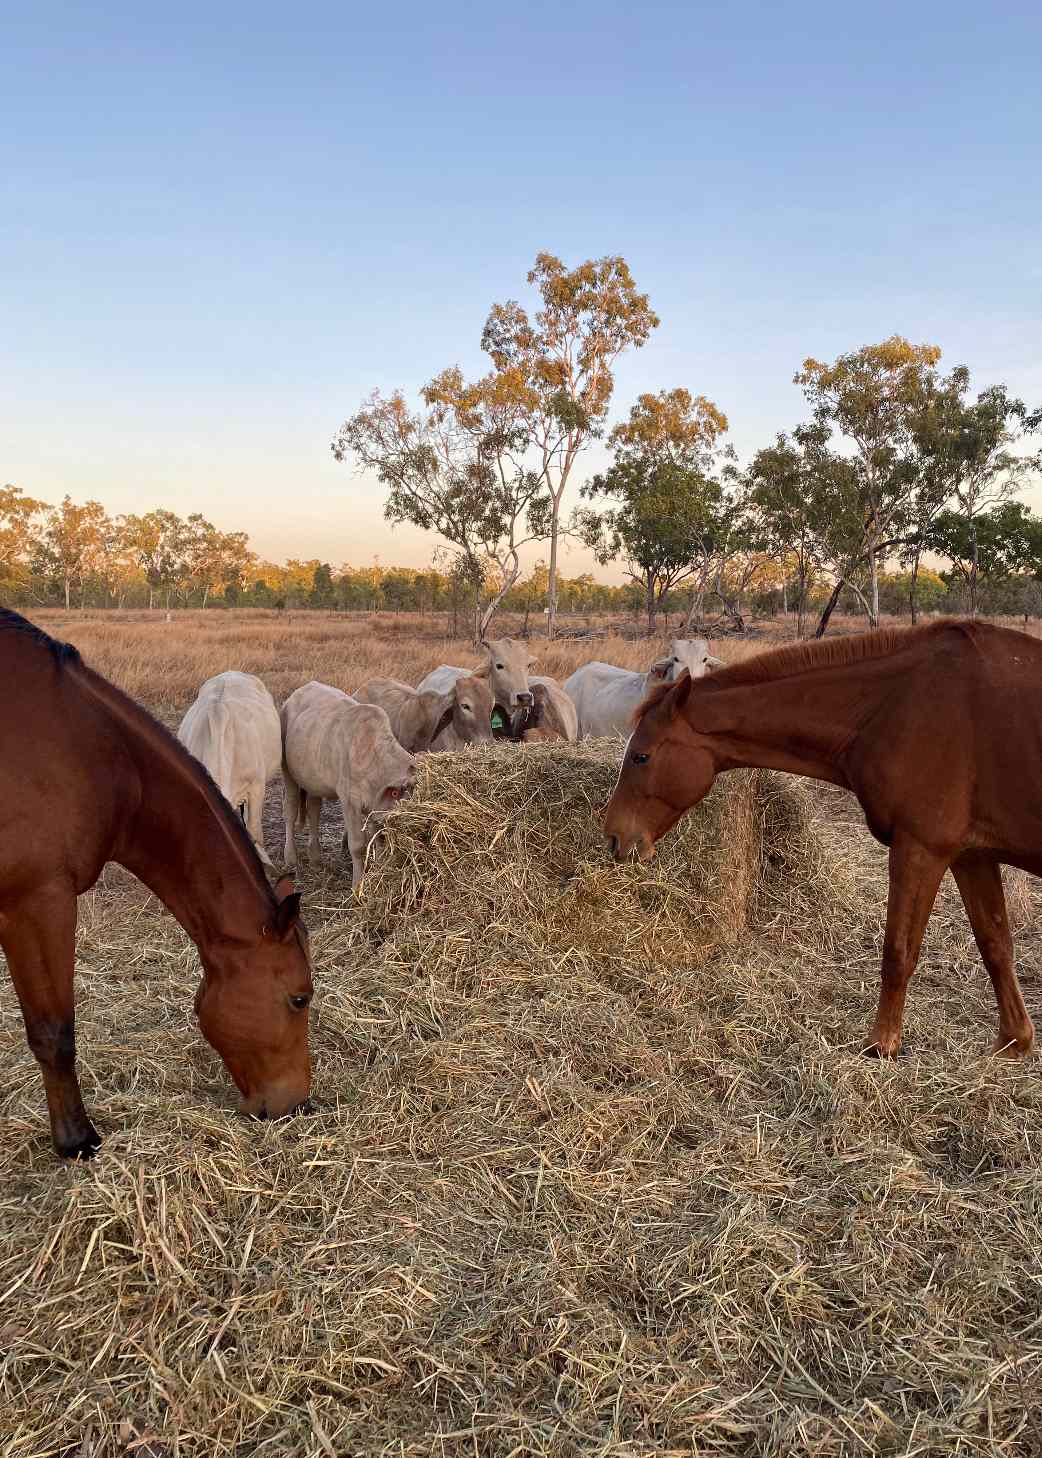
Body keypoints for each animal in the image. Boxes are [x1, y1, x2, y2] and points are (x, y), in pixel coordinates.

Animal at [285, 682, 419, 886]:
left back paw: (315, 858)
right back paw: (291, 858)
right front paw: (357, 885)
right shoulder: (349, 801)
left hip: (314, 781)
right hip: (288, 775)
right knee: (290, 811)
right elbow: (357, 846)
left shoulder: (375, 806)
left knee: (313, 811)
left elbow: (378, 840)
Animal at [603, 618, 1042, 1061]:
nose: (614, 837)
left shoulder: (920, 850)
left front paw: (881, 1045)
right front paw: (1013, 1041)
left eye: (641, 756)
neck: (895, 706)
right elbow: (996, 945)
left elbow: (898, 951)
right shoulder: (972, 856)